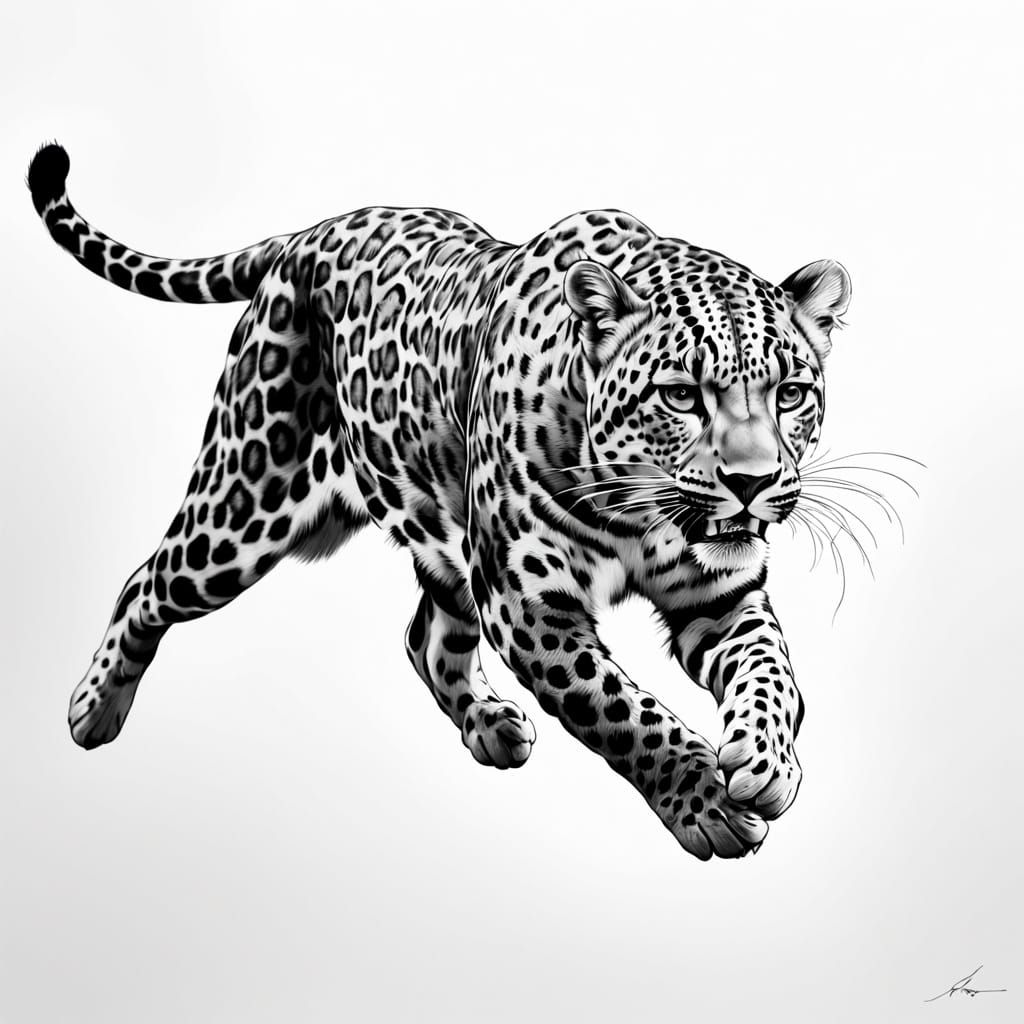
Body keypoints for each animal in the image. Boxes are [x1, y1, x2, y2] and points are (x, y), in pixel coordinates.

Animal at [28, 142, 851, 860]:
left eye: (790, 393)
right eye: (680, 395)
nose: (752, 483)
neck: (642, 512)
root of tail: (307, 233)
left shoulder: (720, 593)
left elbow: (773, 673)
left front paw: (766, 762)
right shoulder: (528, 605)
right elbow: (620, 712)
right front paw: (706, 803)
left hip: (438, 528)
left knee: (425, 636)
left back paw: (490, 725)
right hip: (242, 505)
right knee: (148, 582)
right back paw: (91, 710)